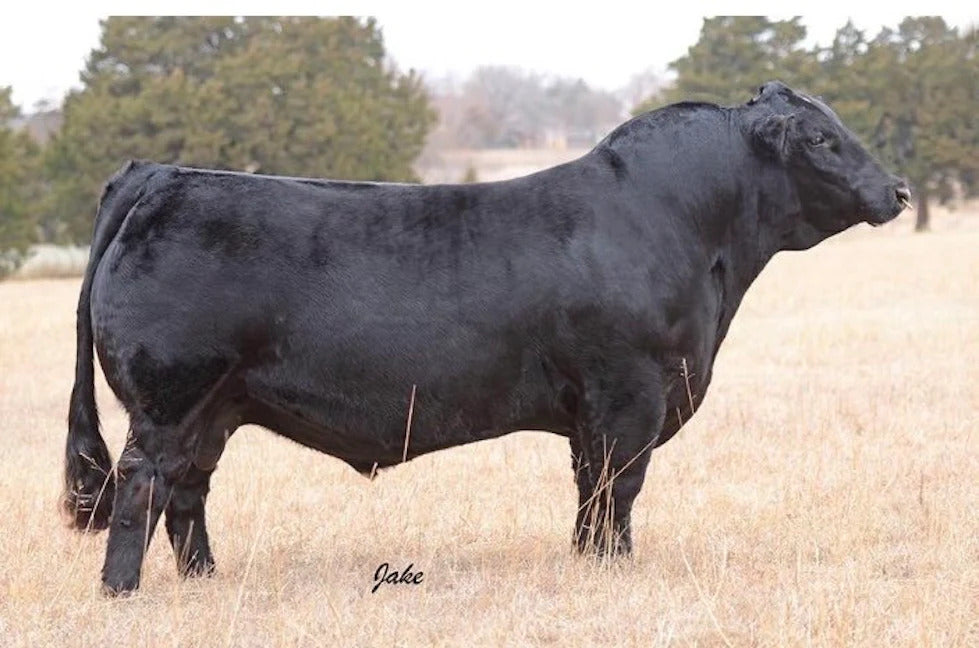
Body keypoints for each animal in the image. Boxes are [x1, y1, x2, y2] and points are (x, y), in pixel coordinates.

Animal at [62, 81, 910, 595]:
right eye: (820, 139)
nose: (897, 190)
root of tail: (163, 174)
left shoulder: (593, 411)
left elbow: (588, 491)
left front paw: (586, 563)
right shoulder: (629, 393)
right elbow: (618, 487)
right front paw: (614, 570)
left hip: (214, 405)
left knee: (189, 489)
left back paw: (205, 580)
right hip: (168, 398)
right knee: (143, 484)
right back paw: (122, 591)